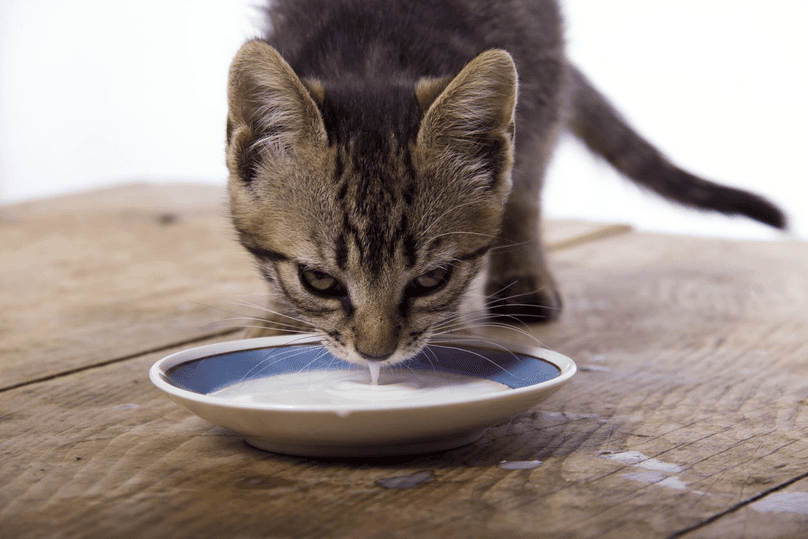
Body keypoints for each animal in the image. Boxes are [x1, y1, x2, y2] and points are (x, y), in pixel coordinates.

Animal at [224, 0, 784, 368]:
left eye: (432, 279)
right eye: (319, 280)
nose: (376, 355)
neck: (371, 56)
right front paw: (278, 317)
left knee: (527, 186)